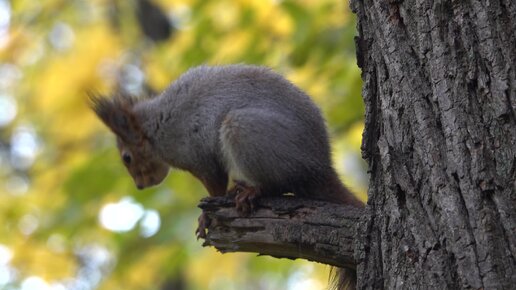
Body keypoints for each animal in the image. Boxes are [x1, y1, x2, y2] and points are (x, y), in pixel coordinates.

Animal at [89, 64, 362, 290]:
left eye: (127, 157)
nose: (140, 185)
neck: (155, 127)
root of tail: (321, 167)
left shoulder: (197, 154)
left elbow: (215, 185)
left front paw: (205, 217)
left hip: (244, 130)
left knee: (278, 184)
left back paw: (252, 190)